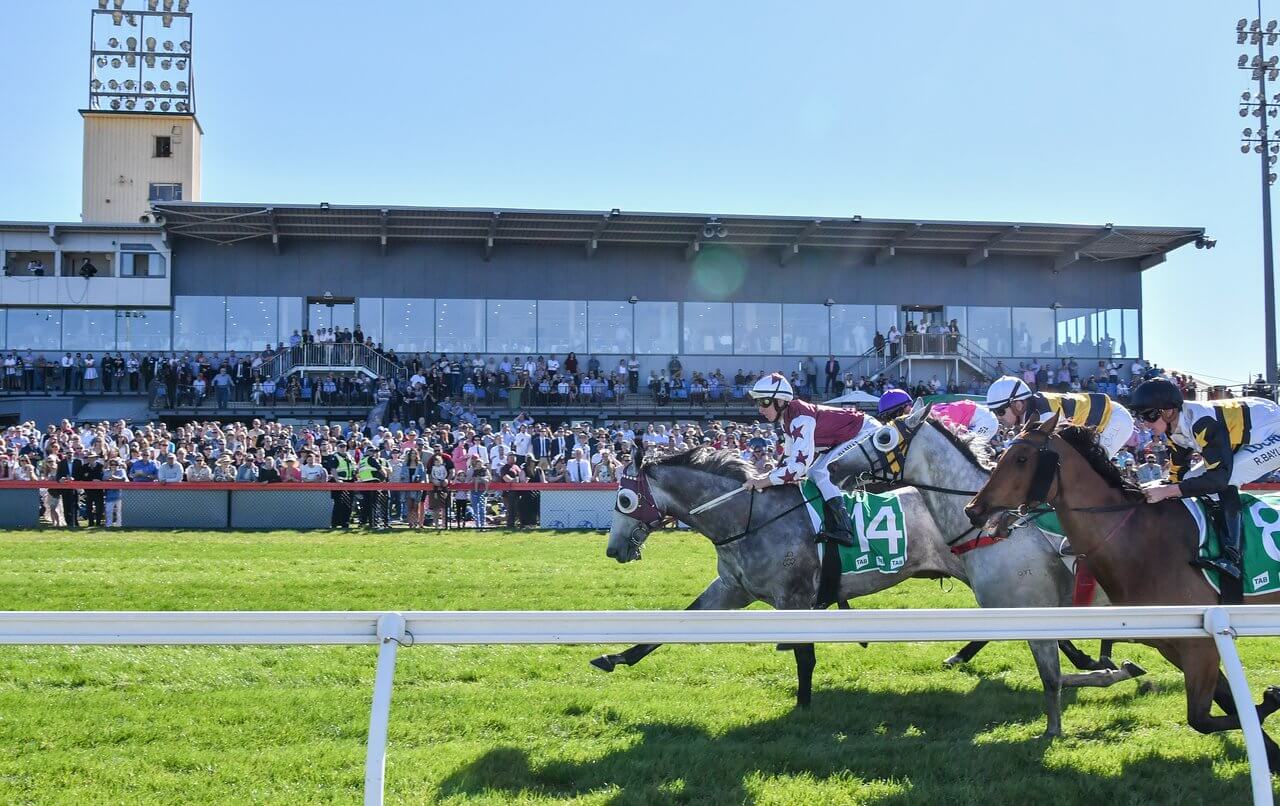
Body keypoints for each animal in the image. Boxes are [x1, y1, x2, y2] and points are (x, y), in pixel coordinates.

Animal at [834, 404, 1146, 736]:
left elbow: (1052, 678)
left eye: (883, 437)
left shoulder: (1035, 614)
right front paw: (1111, 669)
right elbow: (1057, 673)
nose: (835, 467)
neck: (994, 532)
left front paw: (1054, 728)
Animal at [962, 414, 1280, 772]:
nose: (973, 509)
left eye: (1020, 459)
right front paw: (1272, 751)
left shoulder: (1201, 644)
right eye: (1001, 454)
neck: (1138, 540)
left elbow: (1202, 717)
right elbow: (1224, 707)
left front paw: (1272, 698)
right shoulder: (1177, 645)